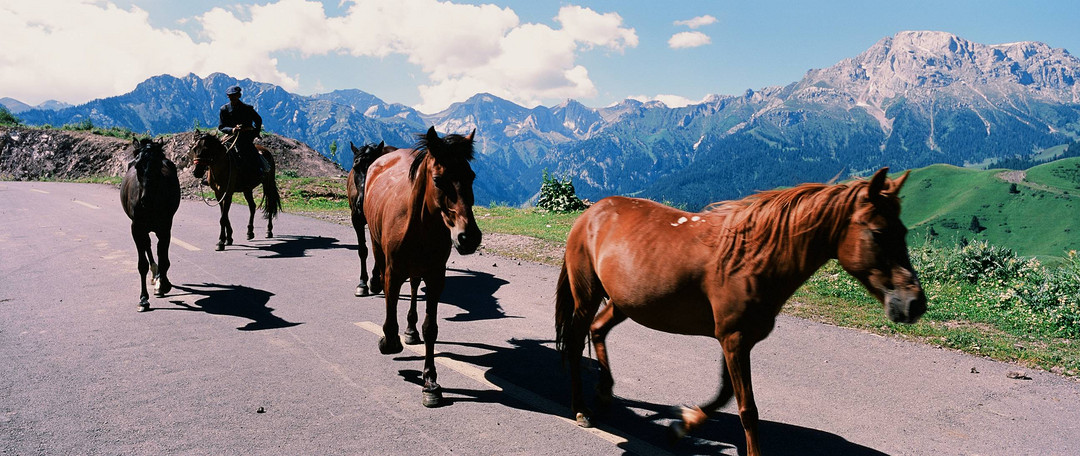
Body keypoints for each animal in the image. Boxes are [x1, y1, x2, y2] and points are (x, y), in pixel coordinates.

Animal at [120, 137, 179, 311]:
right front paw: (143, 299)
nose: (146, 200)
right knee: (147, 245)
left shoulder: (165, 228)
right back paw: (154, 273)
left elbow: (164, 258)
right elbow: (142, 265)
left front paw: (163, 284)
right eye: (138, 165)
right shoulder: (136, 228)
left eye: (158, 165)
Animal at [345, 140, 393, 298]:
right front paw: (362, 284)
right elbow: (362, 250)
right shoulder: (356, 219)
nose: (362, 203)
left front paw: (375, 282)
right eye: (355, 167)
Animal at [362, 125, 481, 406]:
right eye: (438, 180)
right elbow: (390, 319)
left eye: (471, 176)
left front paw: (430, 382)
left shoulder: (436, 277)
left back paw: (410, 329)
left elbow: (431, 329)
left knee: (415, 286)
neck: (419, 225)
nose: (468, 237)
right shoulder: (393, 272)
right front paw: (389, 341)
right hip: (375, 243)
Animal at [557, 168, 928, 455]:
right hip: (587, 295)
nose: (914, 303)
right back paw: (581, 409)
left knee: (599, 330)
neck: (751, 260)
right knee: (575, 344)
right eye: (878, 233)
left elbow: (724, 394)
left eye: (904, 231)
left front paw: (682, 425)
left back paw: (605, 391)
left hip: (625, 303)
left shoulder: (736, 340)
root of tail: (592, 213)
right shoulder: (734, 339)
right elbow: (747, 408)